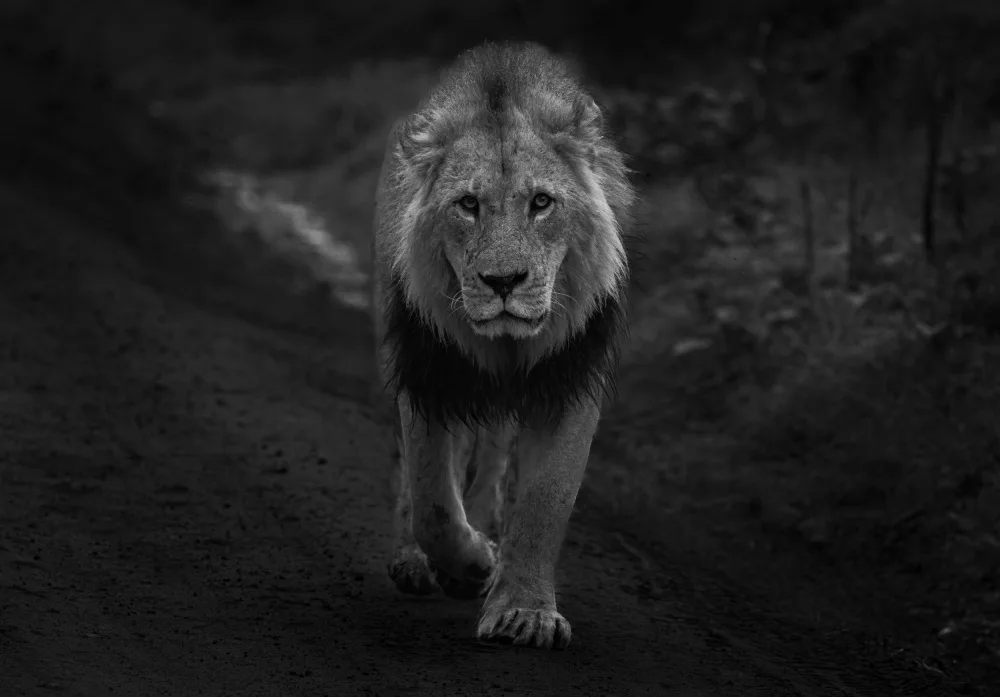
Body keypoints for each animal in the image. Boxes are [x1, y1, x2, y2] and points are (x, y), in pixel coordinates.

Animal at [371, 40, 635, 650]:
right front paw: (468, 566)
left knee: (492, 454)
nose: (504, 282)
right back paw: (420, 562)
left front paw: (524, 612)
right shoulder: (429, 372)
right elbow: (432, 500)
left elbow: (545, 501)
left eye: (541, 202)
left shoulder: (569, 378)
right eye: (468, 204)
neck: (508, 346)